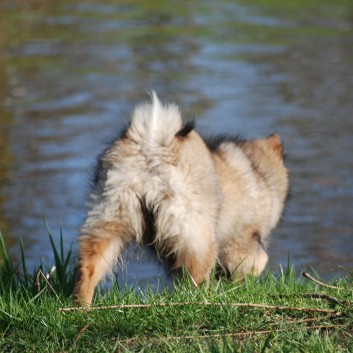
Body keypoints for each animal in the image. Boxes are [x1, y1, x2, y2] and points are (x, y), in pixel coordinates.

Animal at [73, 93, 288, 306]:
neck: (259, 174)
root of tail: (151, 142)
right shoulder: (242, 245)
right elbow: (255, 266)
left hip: (109, 219)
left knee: (87, 270)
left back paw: (82, 308)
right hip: (196, 234)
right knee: (197, 277)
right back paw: (200, 302)